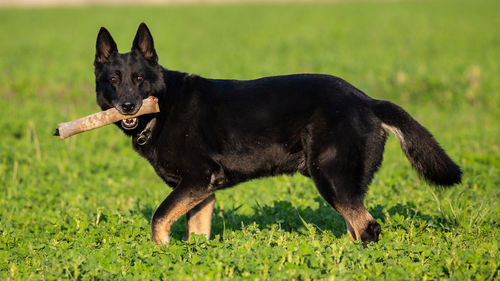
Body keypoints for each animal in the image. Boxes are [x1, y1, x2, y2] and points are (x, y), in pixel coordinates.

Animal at [94, 23, 460, 244]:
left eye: (139, 79)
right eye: (113, 79)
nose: (128, 106)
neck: (162, 107)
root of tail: (367, 101)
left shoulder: (197, 180)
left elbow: (158, 218)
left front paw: (161, 250)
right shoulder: (202, 192)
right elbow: (196, 234)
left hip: (332, 178)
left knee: (368, 227)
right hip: (341, 185)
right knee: (357, 226)